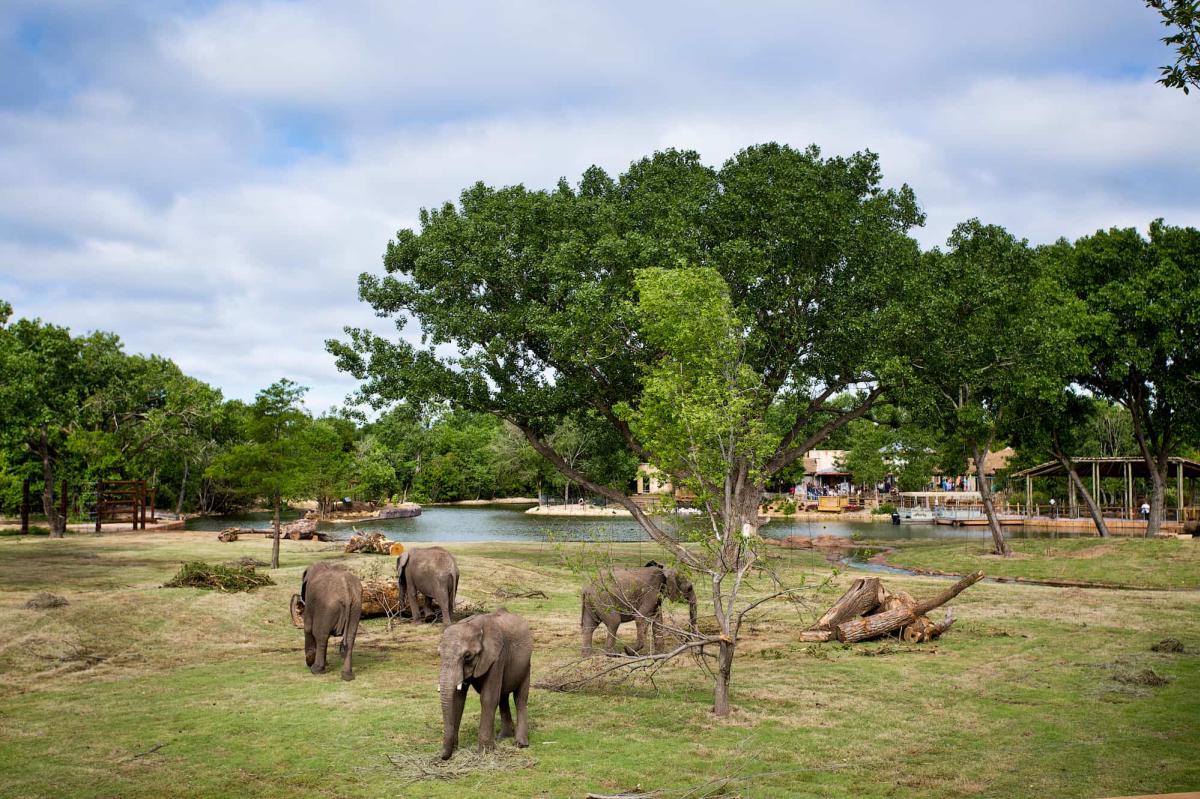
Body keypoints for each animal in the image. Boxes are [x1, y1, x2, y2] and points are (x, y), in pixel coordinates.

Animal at [439, 607, 532, 758]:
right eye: (439, 654)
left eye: (467, 656)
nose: (442, 756)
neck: (475, 626)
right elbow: (458, 700)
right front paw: (455, 750)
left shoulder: (497, 657)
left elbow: (488, 698)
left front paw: (485, 751)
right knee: (503, 697)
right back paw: (503, 737)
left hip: (526, 664)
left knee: (520, 698)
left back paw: (520, 744)